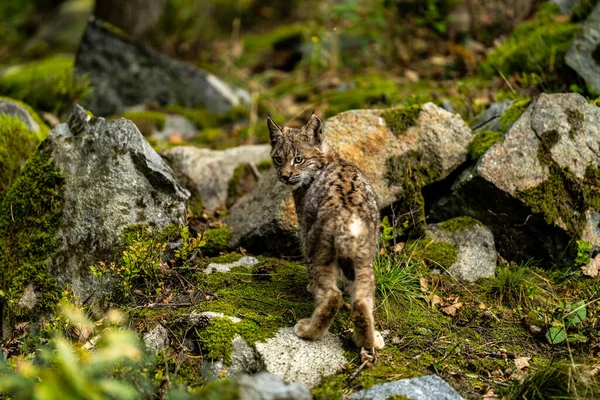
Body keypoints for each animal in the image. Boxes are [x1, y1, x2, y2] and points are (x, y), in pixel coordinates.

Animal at [268, 112, 384, 350]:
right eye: (278, 159)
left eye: (298, 159)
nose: (285, 176)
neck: (328, 158)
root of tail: (347, 216)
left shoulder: (304, 229)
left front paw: (310, 288)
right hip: (364, 256)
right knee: (362, 299)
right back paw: (369, 340)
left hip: (318, 249)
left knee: (332, 295)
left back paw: (308, 331)